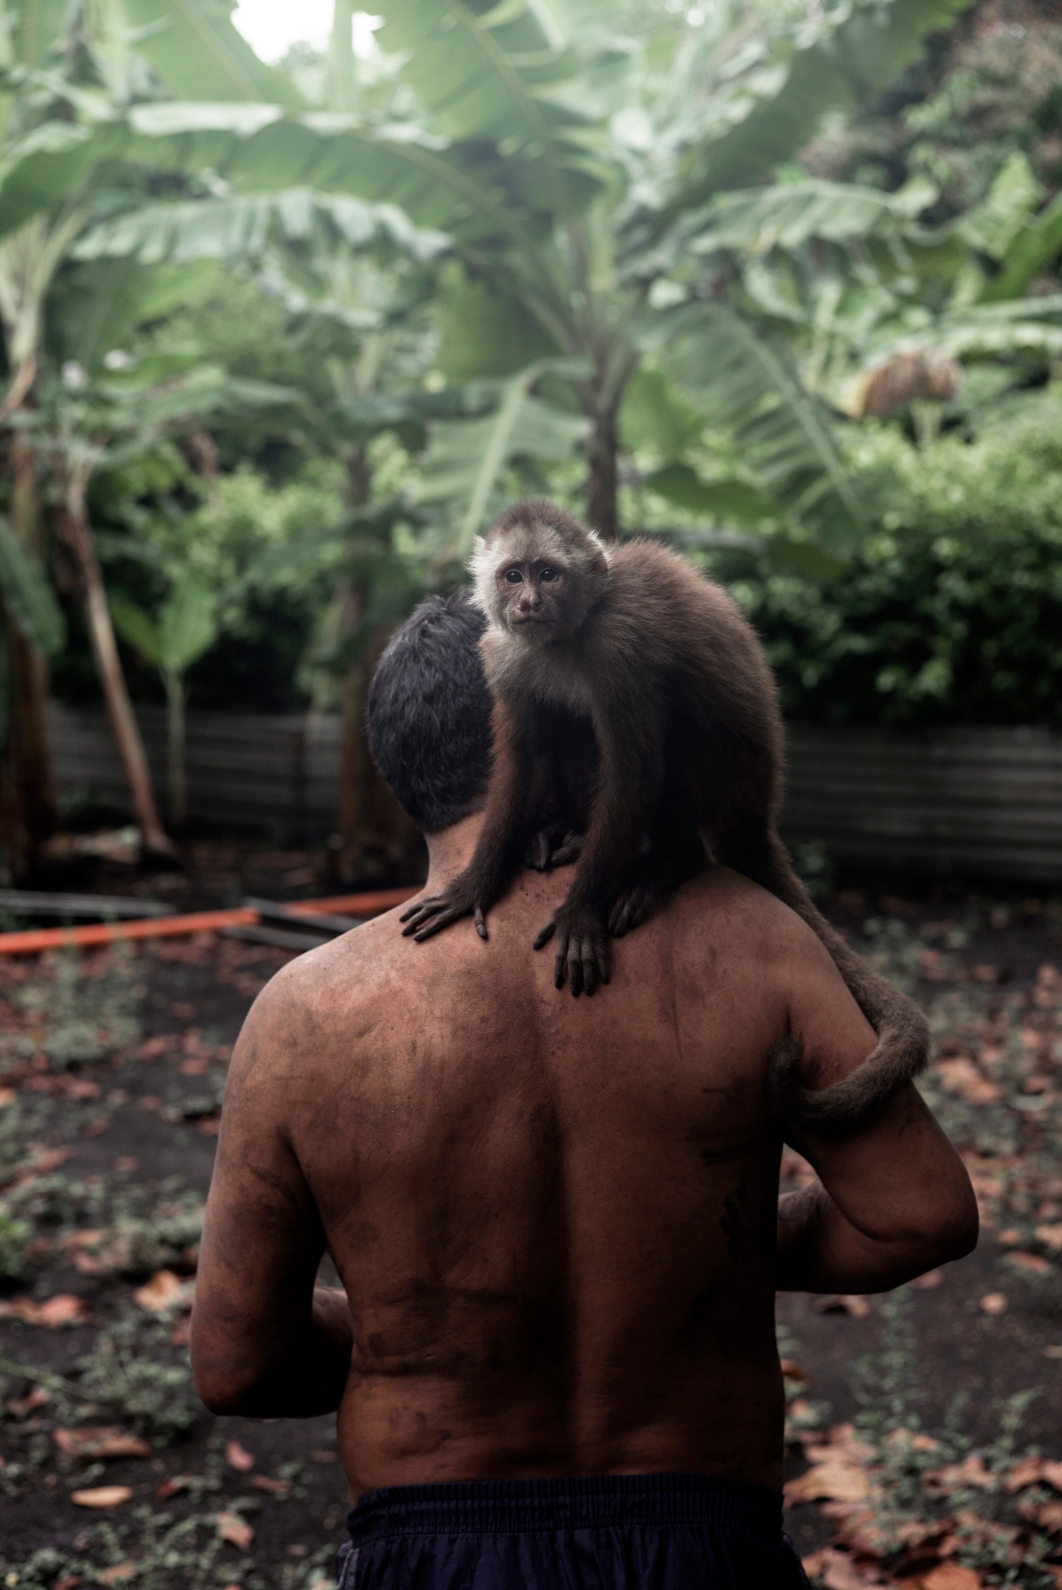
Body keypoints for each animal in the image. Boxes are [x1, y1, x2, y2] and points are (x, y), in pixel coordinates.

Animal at [400, 500, 928, 1130]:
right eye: (513, 575)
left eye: (548, 574)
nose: (528, 602)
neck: (567, 637)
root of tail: (759, 809)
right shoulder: (504, 652)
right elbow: (521, 761)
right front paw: (475, 884)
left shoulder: (618, 647)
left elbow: (634, 774)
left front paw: (580, 913)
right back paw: (569, 835)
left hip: (729, 779)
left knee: (669, 738)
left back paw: (672, 862)